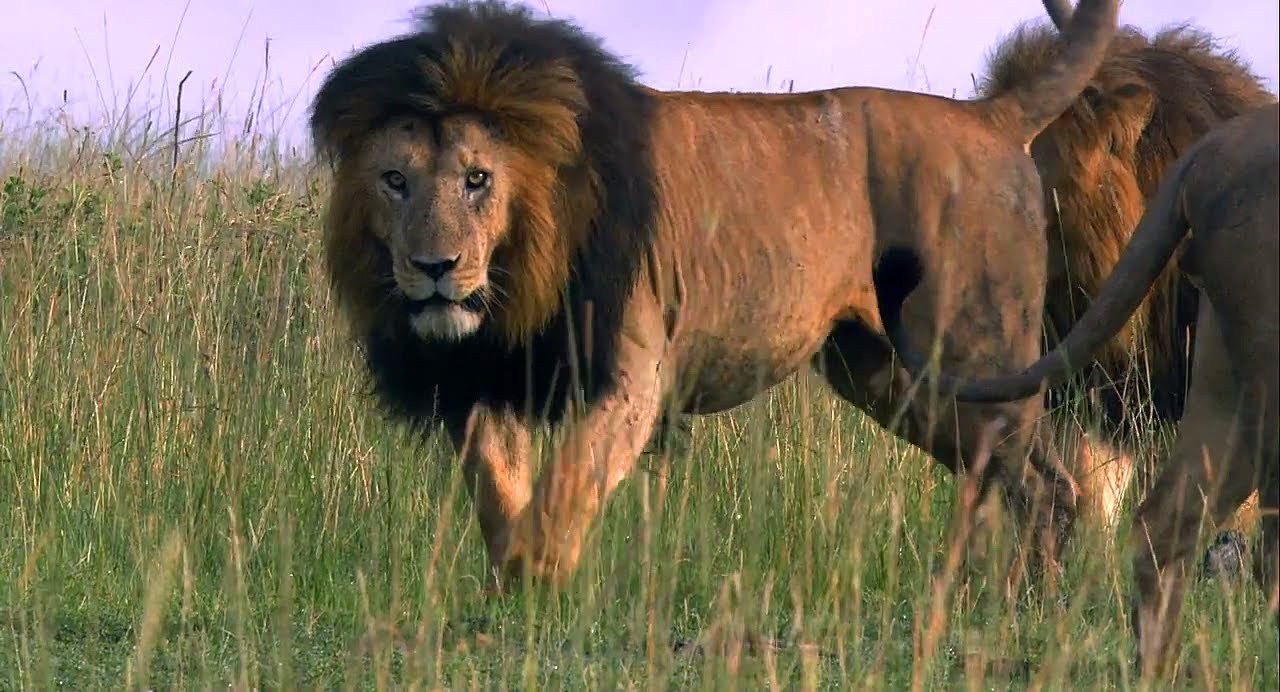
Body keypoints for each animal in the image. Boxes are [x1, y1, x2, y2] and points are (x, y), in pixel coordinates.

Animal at [302, 0, 1121, 585]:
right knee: (1024, 483)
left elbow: (559, 498)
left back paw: (1017, 614)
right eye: (394, 180)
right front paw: (512, 607)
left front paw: (539, 596)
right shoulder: (486, 378)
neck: (517, 276)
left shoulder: (631, 377)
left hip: (975, 350)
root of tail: (991, 115)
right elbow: (503, 504)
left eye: (477, 179)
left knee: (1051, 485)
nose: (434, 266)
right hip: (884, 374)